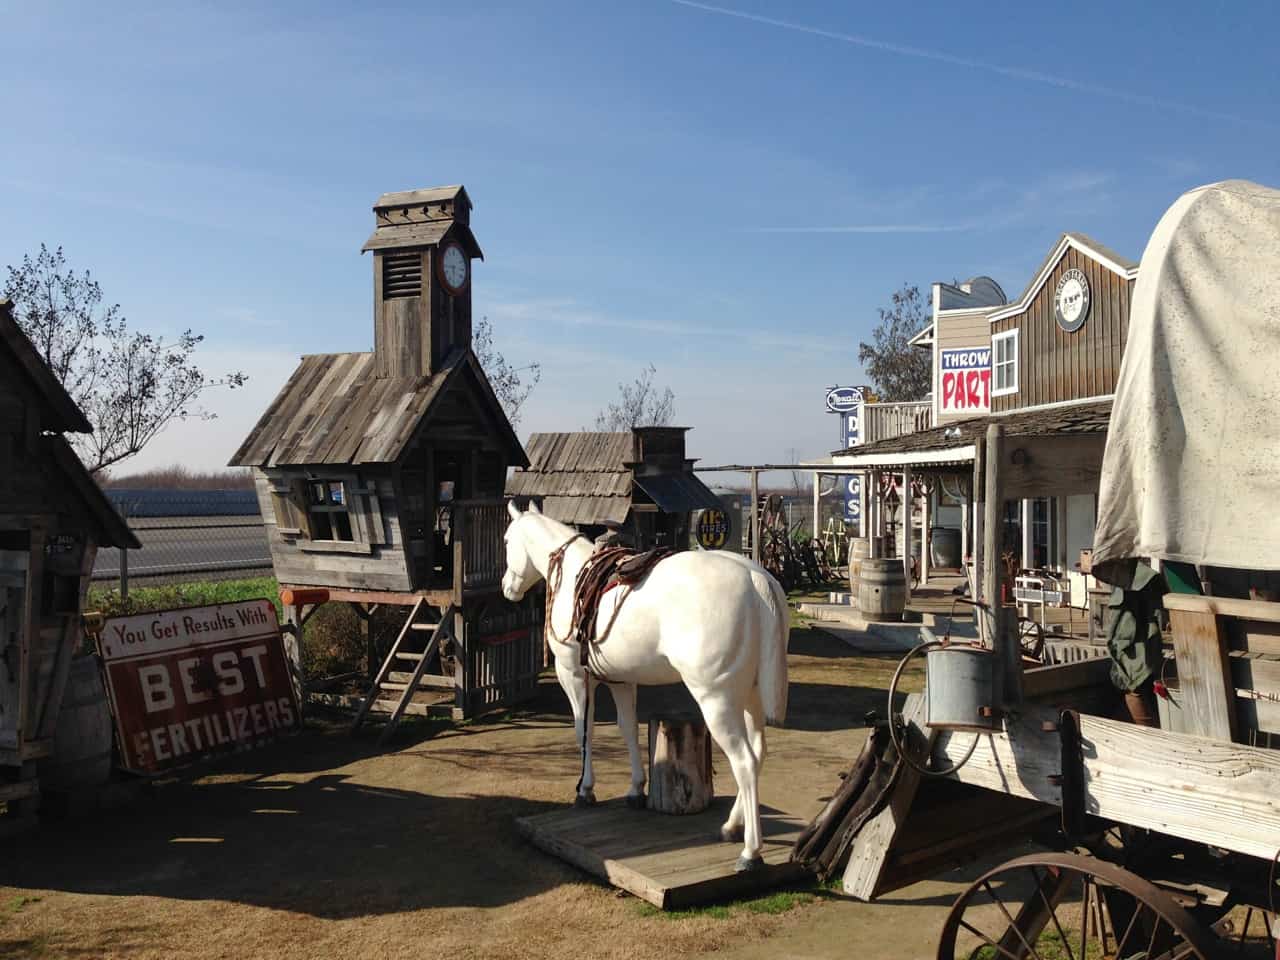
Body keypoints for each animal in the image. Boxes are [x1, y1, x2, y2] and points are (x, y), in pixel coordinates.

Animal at [501, 504, 788, 870]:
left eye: (506, 540)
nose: (507, 587)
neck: (576, 577)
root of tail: (756, 579)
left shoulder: (575, 677)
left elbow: (584, 731)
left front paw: (585, 790)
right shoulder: (621, 680)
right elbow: (626, 729)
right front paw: (636, 789)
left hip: (717, 700)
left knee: (745, 761)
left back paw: (751, 851)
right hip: (749, 696)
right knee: (759, 752)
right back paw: (732, 826)